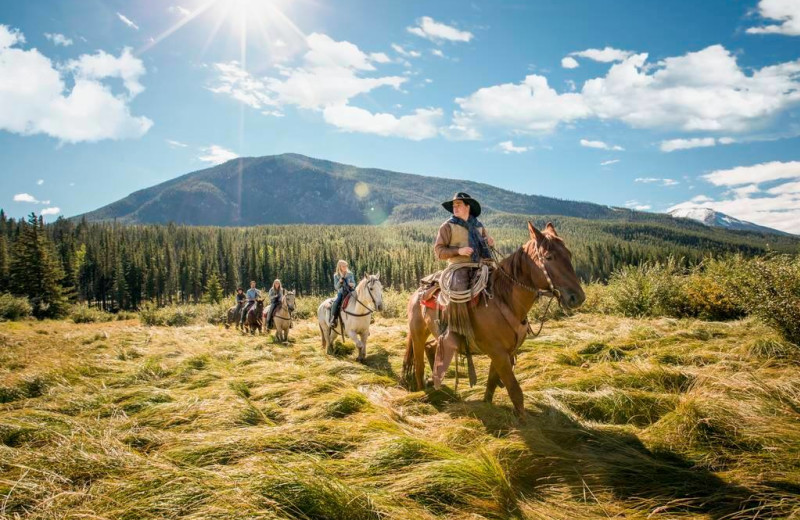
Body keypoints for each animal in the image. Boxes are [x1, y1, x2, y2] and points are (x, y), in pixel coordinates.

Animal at [404, 221, 584, 420]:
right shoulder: (498, 353)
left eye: (569, 254)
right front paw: (524, 422)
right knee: (419, 365)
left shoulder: (504, 352)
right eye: (548, 257)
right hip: (418, 334)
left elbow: (491, 383)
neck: (504, 301)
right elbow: (515, 392)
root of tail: (418, 290)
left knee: (433, 348)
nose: (577, 297)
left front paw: (488, 406)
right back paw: (423, 393)